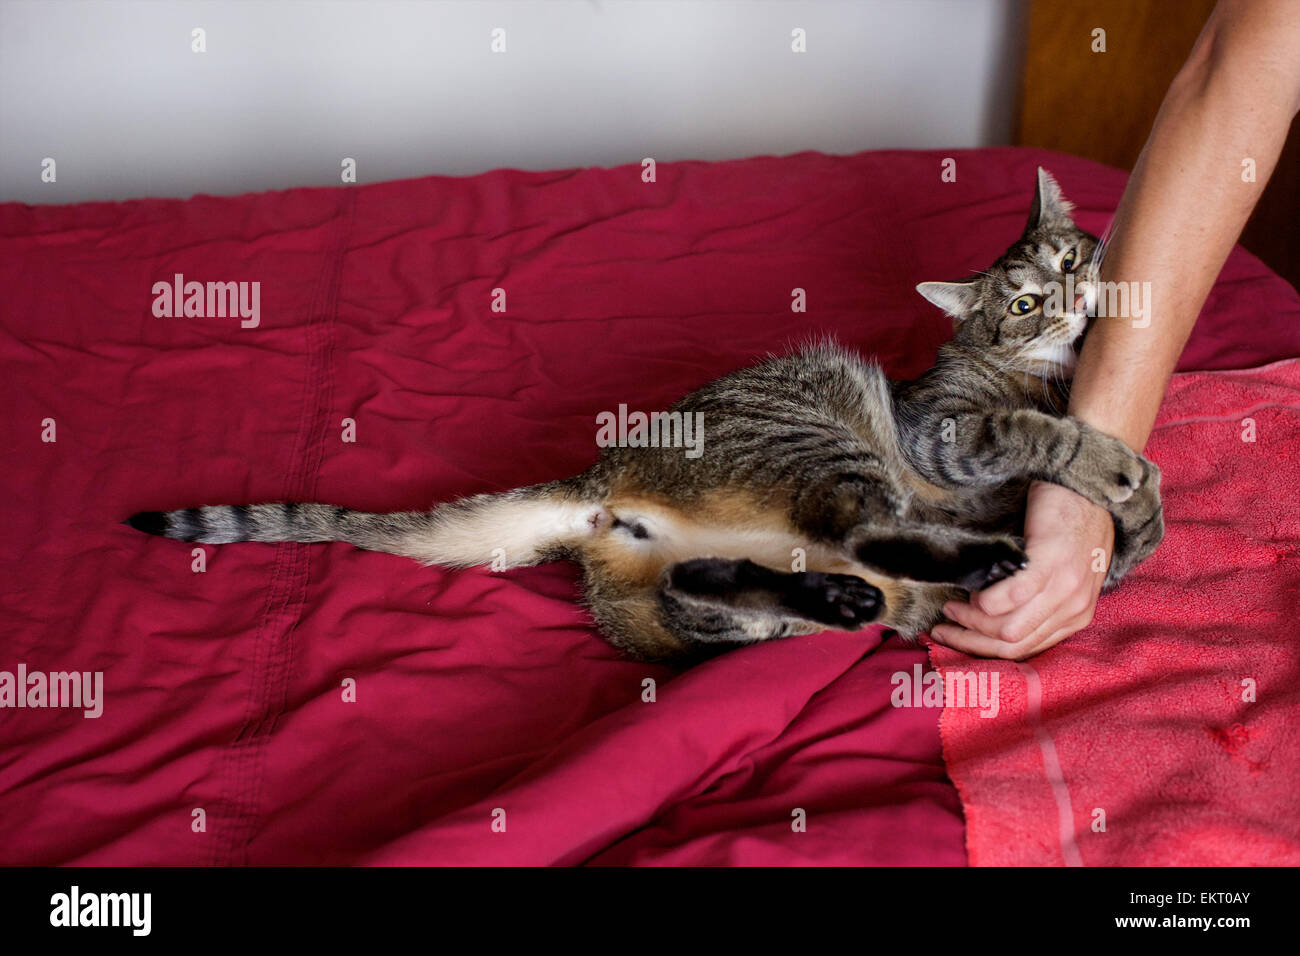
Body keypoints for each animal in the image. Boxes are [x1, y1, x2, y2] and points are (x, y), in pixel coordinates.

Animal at [126, 170, 1170, 665]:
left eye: (1071, 257)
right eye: (1024, 300)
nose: (1074, 294)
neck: (1041, 371)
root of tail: (596, 487)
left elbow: (1126, 551)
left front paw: (1139, 518)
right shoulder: (942, 433)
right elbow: (1040, 438)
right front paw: (1122, 474)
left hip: (702, 610)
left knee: (719, 590)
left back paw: (836, 600)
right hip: (825, 449)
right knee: (863, 530)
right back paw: (973, 562)